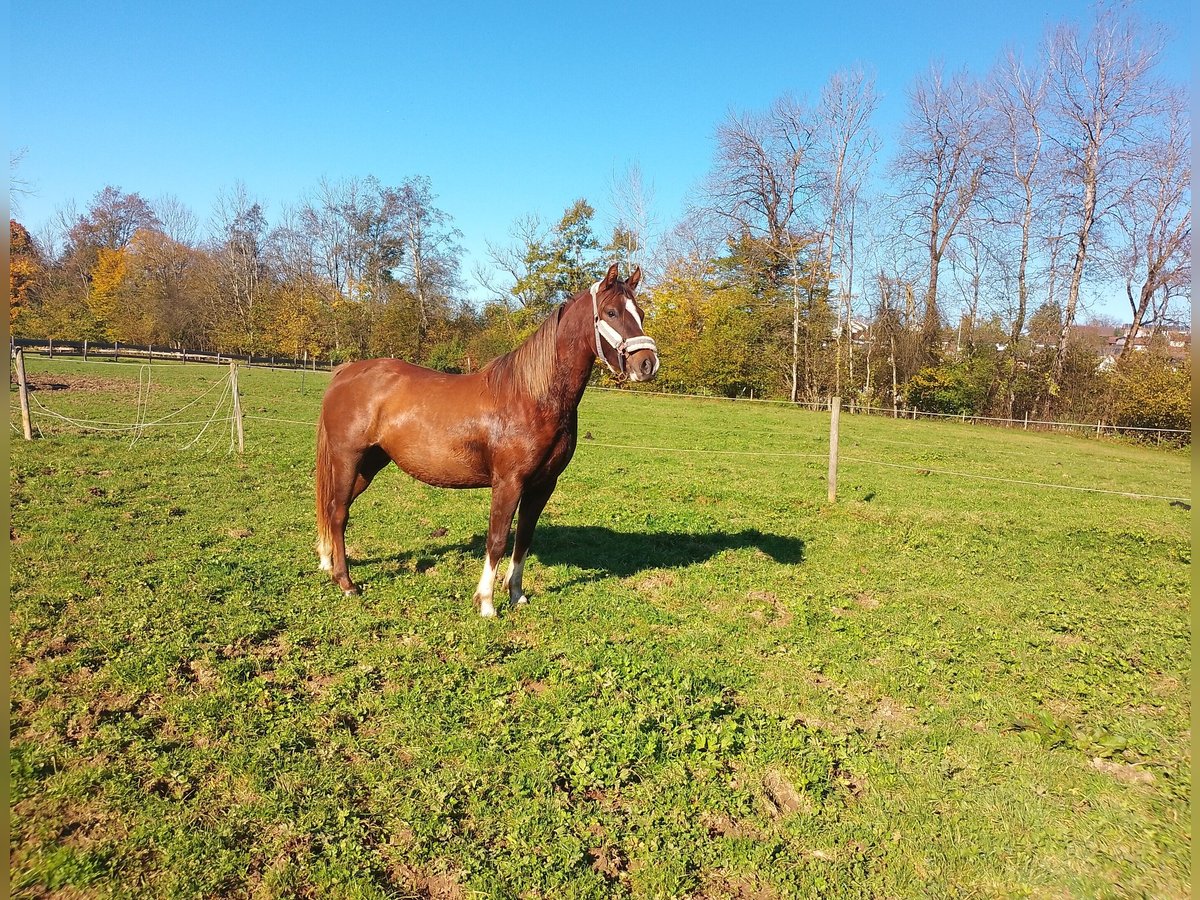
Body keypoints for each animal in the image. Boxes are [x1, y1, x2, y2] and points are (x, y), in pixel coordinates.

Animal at [314, 260, 662, 614]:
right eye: (611, 312)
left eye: (641, 313)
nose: (647, 364)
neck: (532, 396)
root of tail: (346, 371)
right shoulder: (508, 483)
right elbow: (497, 539)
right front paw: (486, 602)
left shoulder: (542, 485)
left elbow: (523, 539)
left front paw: (516, 593)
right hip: (348, 459)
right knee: (339, 512)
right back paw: (346, 582)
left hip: (370, 464)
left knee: (332, 508)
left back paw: (328, 563)